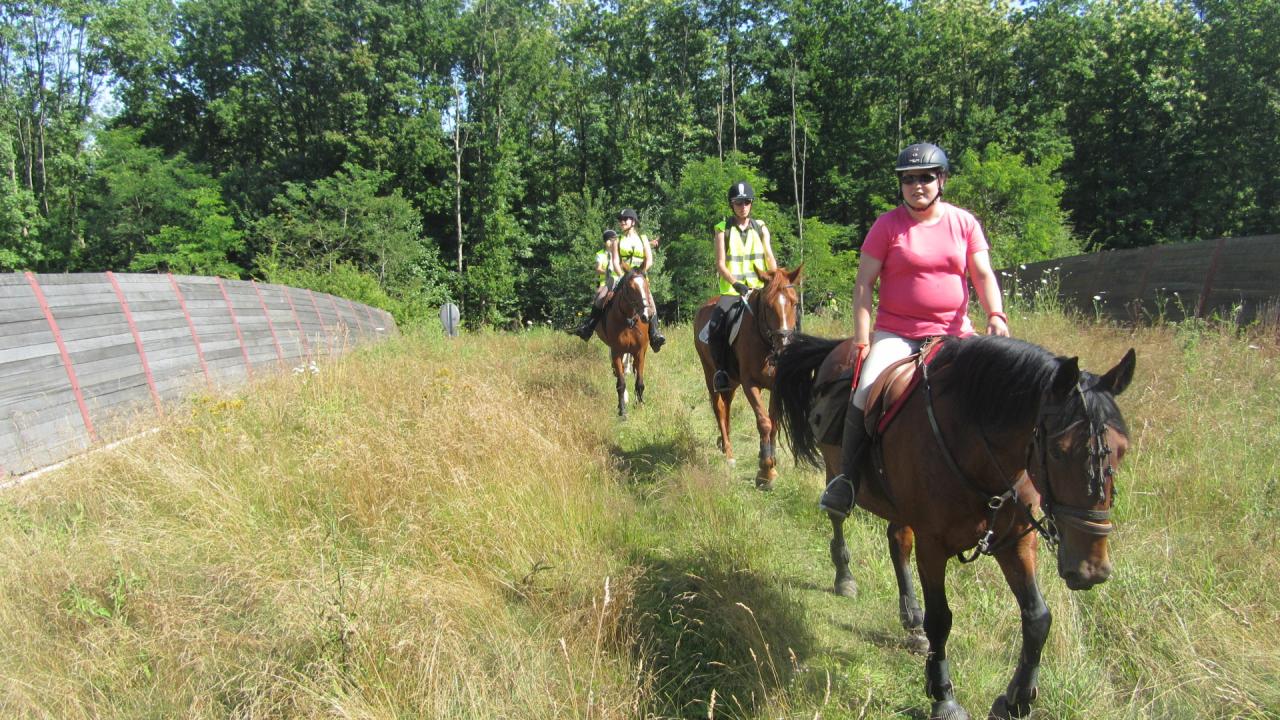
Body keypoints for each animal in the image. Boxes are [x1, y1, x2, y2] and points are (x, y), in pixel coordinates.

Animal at [593, 267, 650, 415]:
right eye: (630, 288)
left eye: (646, 286)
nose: (646, 315)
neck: (628, 321)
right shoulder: (616, 352)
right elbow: (621, 383)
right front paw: (622, 410)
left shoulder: (640, 351)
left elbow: (639, 381)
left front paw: (640, 405)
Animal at [691, 266, 798, 489]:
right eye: (768, 305)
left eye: (794, 303)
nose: (784, 346)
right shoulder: (750, 384)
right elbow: (764, 422)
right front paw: (765, 472)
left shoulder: (775, 386)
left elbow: (773, 423)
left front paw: (771, 466)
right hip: (710, 375)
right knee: (719, 409)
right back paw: (729, 453)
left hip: (731, 382)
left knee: (727, 407)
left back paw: (724, 444)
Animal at [773, 333, 1136, 717]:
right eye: (1058, 451)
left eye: (1123, 449)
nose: (1091, 569)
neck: (975, 447)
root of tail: (840, 347)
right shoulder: (933, 546)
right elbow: (941, 620)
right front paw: (942, 696)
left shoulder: (1015, 544)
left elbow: (1038, 617)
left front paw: (1017, 699)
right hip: (836, 471)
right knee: (839, 518)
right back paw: (845, 577)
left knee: (897, 541)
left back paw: (911, 618)